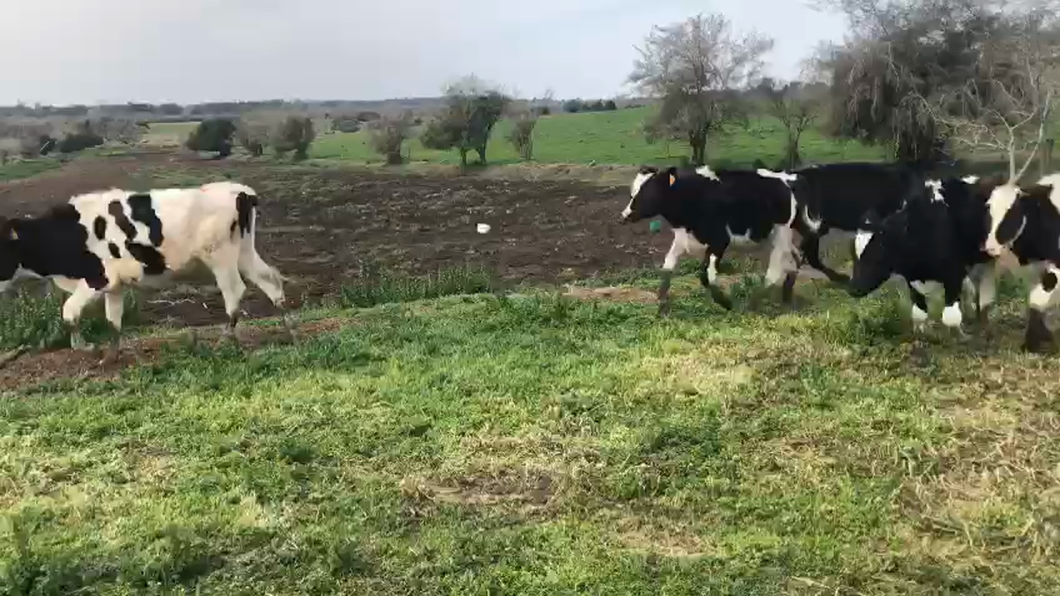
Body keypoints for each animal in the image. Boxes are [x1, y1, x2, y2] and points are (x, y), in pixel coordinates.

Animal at [0, 180, 292, 356]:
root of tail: (241, 192)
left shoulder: (98, 278)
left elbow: (69, 313)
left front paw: (84, 348)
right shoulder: (114, 286)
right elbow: (113, 321)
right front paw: (113, 355)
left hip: (220, 257)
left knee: (235, 292)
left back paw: (226, 339)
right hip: (243, 252)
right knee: (271, 280)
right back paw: (290, 331)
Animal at [619, 162, 797, 311]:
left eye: (648, 192)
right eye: (633, 192)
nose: (624, 216)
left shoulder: (719, 241)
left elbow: (705, 275)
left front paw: (726, 303)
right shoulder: (682, 238)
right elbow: (667, 267)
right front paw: (662, 305)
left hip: (782, 234)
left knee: (775, 271)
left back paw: (755, 303)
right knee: (794, 259)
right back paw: (786, 298)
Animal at [843, 174, 1000, 335]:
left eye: (876, 257)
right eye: (853, 255)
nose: (853, 288)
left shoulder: (954, 274)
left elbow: (950, 318)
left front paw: (959, 336)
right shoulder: (911, 279)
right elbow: (919, 313)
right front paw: (921, 335)